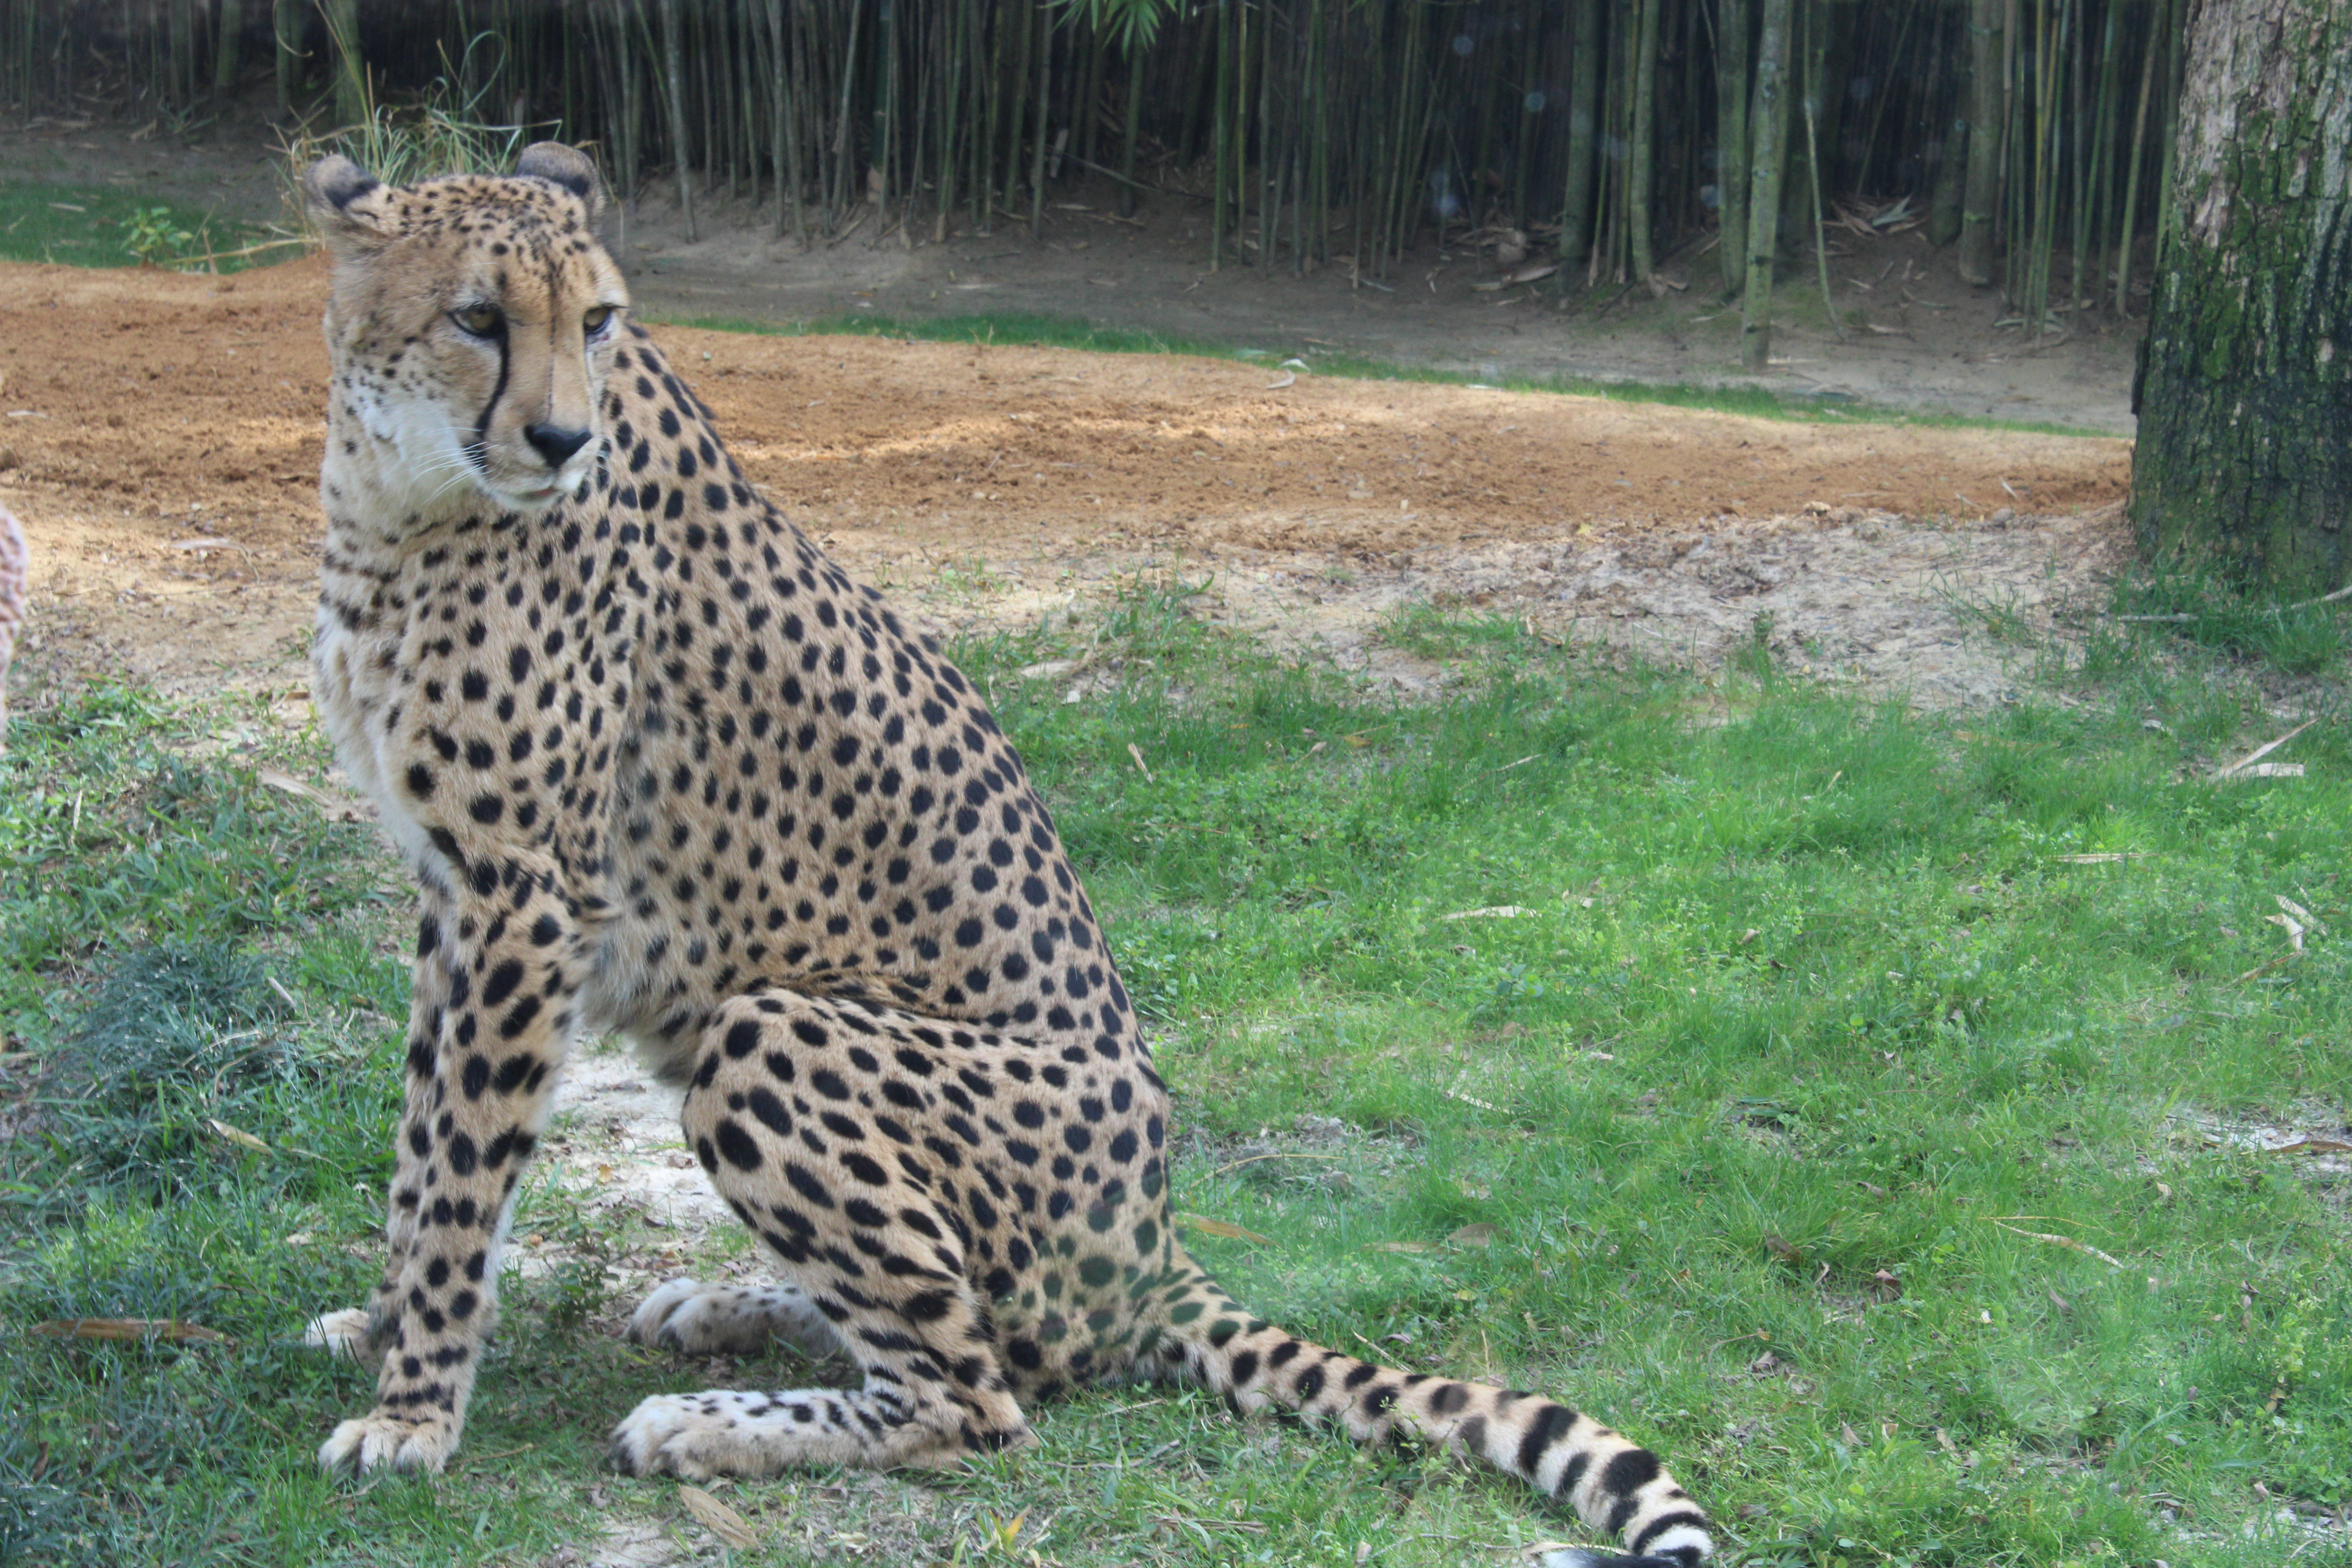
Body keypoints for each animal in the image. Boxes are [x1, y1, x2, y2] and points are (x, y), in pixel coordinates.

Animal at [296, 142, 1715, 1568]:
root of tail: (1156, 1244)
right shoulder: (454, 894)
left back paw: (706, 1424)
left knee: (976, 1393)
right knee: (955, 1331)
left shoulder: (525, 896)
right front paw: (379, 1331)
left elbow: (464, 1169)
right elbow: (422, 1140)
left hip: (771, 1028)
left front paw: (415, 1412)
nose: (563, 439)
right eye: (479, 318)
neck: (403, 497)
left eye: (595, 321)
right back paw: (734, 1308)